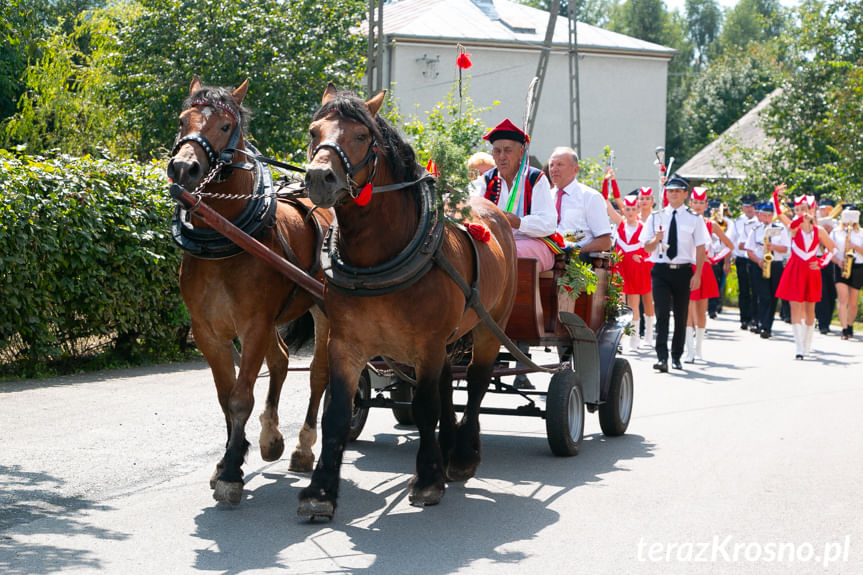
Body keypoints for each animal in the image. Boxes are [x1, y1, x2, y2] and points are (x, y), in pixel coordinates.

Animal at [167, 76, 332, 504]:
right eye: (182, 120)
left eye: (225, 126)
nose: (183, 167)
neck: (226, 237)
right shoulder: (209, 332)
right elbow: (226, 398)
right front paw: (232, 457)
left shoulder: (254, 325)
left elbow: (241, 397)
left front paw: (230, 473)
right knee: (281, 359)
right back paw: (272, 437)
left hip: (325, 312)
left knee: (319, 374)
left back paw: (303, 447)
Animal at [300, 85, 516, 520]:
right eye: (315, 131)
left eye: (361, 136)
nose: (318, 177)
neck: (376, 258)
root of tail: (496, 214)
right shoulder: (345, 344)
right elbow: (337, 413)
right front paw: (320, 491)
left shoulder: (427, 344)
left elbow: (425, 407)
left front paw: (428, 480)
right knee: (450, 384)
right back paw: (449, 449)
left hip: (489, 327)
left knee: (477, 384)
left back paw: (462, 455)